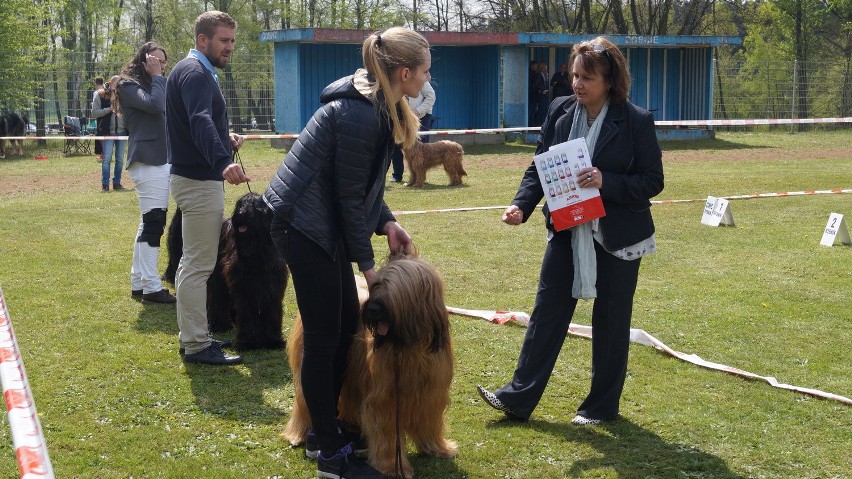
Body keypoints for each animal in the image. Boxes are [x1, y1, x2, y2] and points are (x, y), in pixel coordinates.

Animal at [164, 192, 290, 352]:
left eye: (255, 205)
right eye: (240, 204)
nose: (240, 214)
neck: (257, 251)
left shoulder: (272, 288)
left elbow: (271, 312)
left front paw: (273, 341)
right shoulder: (244, 288)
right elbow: (247, 313)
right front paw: (247, 342)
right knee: (218, 299)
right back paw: (219, 324)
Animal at [284, 256, 460, 478]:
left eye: (396, 286)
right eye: (377, 285)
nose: (372, 310)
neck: (407, 347)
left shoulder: (431, 394)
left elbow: (429, 422)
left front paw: (438, 448)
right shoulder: (384, 400)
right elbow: (386, 434)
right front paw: (392, 467)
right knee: (304, 401)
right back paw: (298, 434)